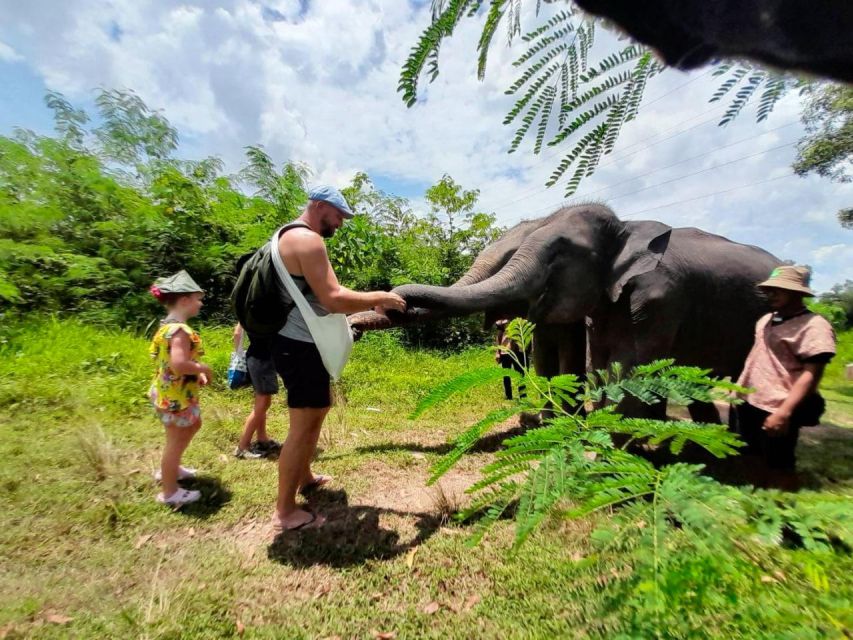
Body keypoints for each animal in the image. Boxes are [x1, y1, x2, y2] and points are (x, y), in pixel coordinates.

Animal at [350, 205, 784, 422]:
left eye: (559, 255)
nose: (397, 299)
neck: (627, 227)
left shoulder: (659, 299)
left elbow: (623, 367)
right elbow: (567, 361)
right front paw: (551, 422)